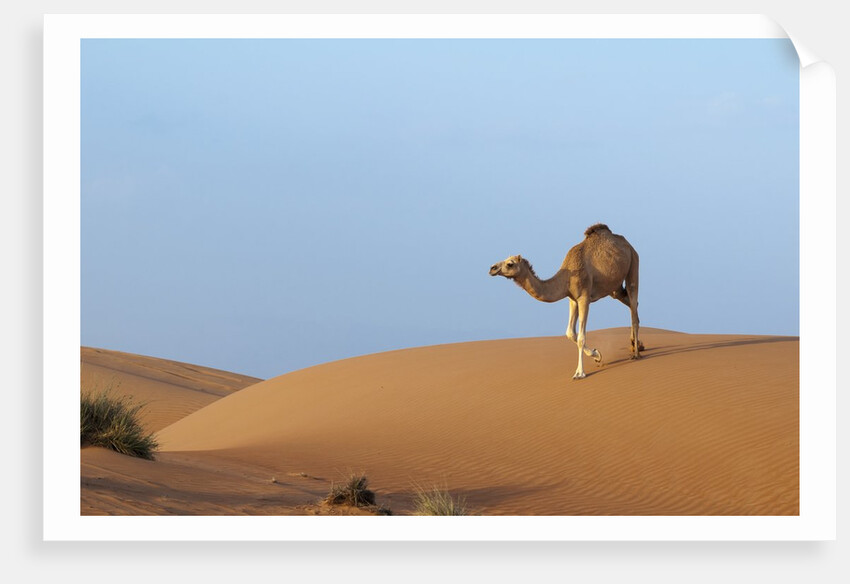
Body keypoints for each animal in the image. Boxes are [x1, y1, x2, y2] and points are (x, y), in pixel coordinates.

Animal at [489, 223, 642, 380]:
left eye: (510, 263)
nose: (492, 268)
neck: (566, 278)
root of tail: (628, 244)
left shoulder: (584, 298)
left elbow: (581, 337)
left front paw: (579, 373)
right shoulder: (572, 299)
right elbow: (570, 333)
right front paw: (597, 355)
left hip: (633, 266)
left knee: (633, 299)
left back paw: (636, 353)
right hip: (614, 289)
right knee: (632, 304)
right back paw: (636, 345)